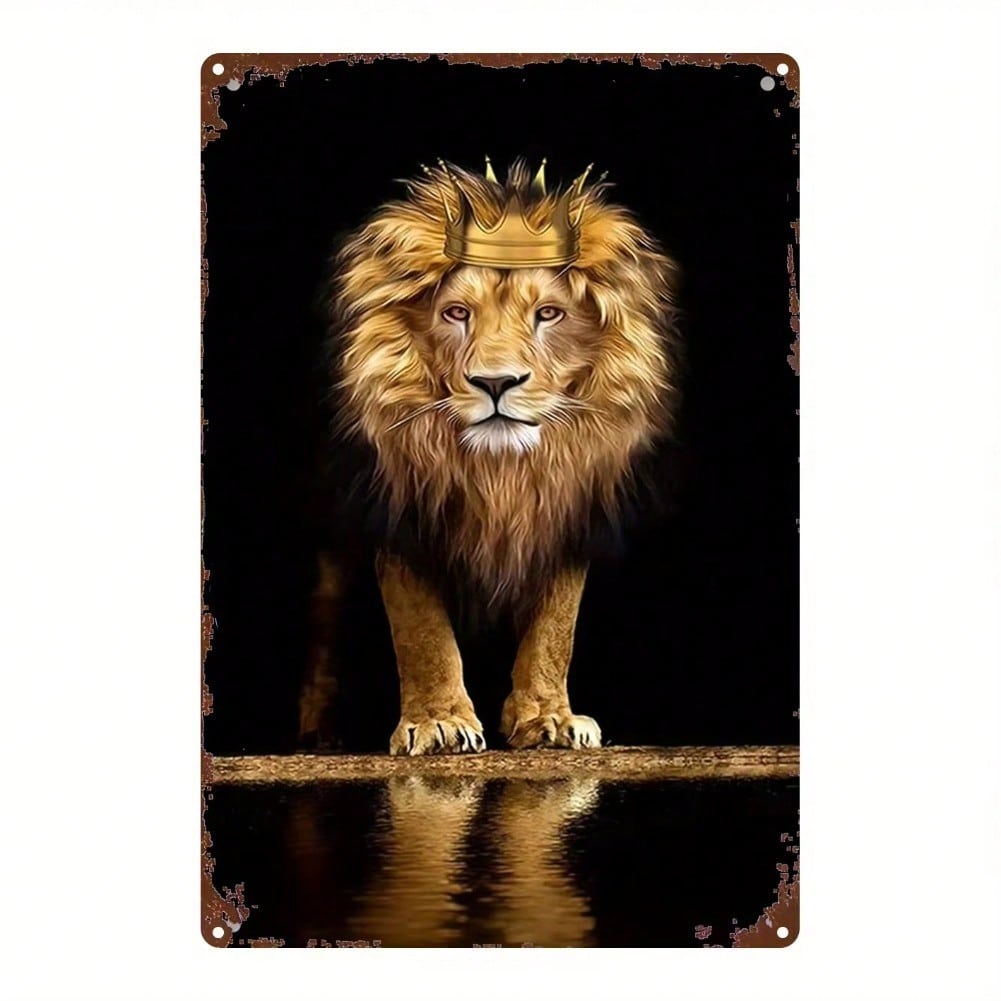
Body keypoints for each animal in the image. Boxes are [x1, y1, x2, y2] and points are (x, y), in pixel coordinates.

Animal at [313, 158, 680, 755]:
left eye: (549, 313)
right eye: (456, 312)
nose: (495, 382)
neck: (500, 470)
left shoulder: (567, 509)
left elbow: (556, 628)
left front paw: (549, 718)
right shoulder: (400, 511)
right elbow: (420, 628)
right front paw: (438, 722)